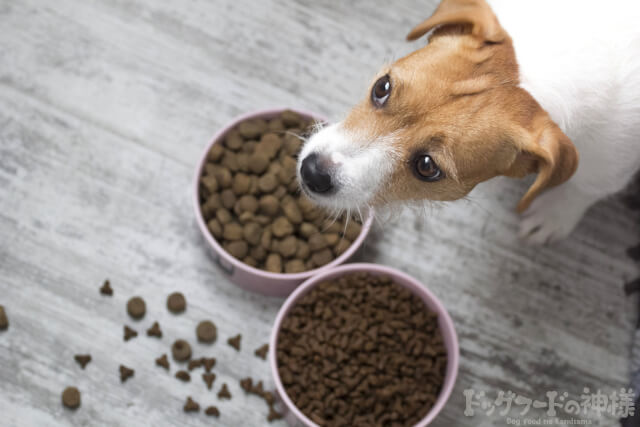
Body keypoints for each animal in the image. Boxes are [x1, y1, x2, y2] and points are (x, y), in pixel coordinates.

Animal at [296, 0, 640, 244]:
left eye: (427, 167)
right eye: (382, 87)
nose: (312, 172)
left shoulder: (610, 163)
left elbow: (585, 187)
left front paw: (553, 216)